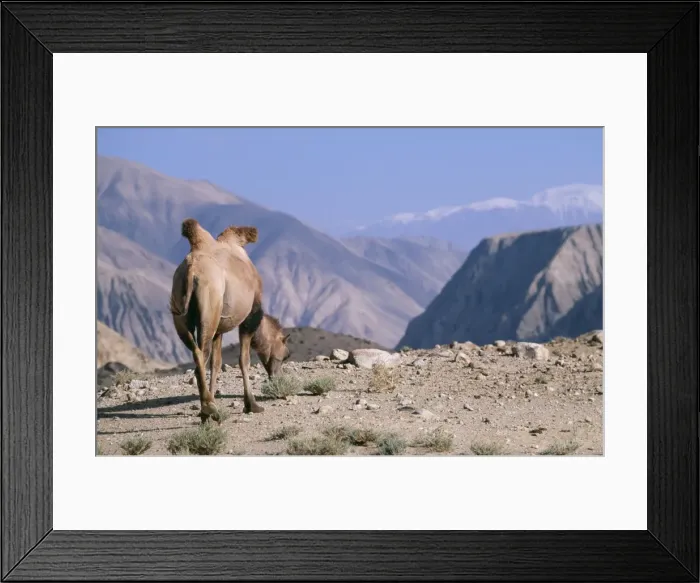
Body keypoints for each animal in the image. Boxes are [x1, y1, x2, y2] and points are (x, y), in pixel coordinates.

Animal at [169, 218, 290, 421]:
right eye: (286, 355)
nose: (279, 379)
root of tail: (192, 270)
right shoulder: (250, 316)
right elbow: (244, 360)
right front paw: (251, 405)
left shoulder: (219, 329)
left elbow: (216, 364)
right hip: (209, 308)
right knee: (201, 354)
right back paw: (209, 409)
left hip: (180, 311)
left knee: (197, 353)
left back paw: (208, 408)